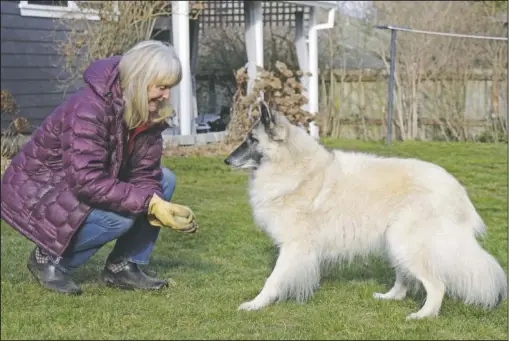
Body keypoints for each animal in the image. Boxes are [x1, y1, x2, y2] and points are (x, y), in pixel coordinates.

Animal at [224, 101, 506, 318]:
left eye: (251, 140)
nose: (225, 160)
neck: (295, 168)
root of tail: (457, 191)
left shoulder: (293, 247)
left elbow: (272, 280)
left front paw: (255, 304)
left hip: (405, 243)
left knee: (437, 285)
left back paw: (423, 316)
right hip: (395, 242)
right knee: (404, 280)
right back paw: (389, 297)